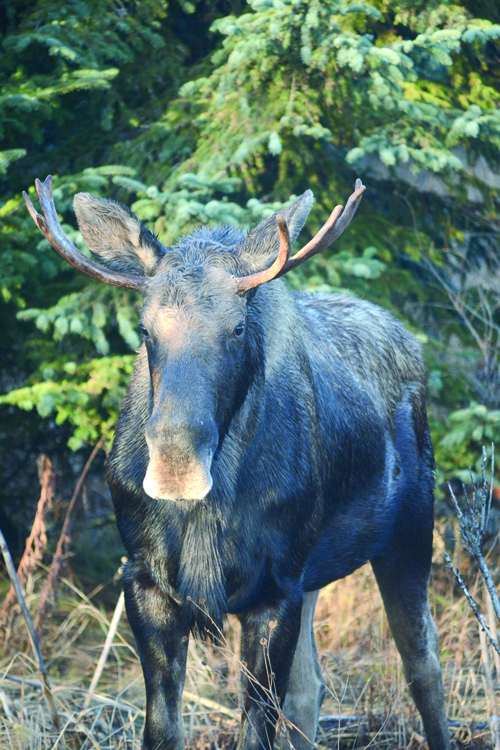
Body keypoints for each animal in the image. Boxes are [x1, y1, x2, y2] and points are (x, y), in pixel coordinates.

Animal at [24, 179, 454, 750]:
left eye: (237, 327)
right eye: (144, 329)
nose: (176, 464)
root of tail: (408, 340)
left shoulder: (273, 590)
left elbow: (256, 729)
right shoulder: (144, 580)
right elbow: (162, 730)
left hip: (409, 530)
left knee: (423, 663)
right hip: (312, 572)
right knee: (310, 688)